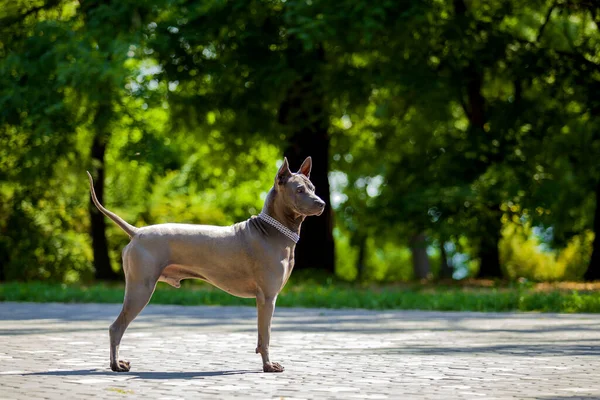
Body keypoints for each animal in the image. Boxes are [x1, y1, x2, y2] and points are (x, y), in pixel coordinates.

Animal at [85, 156, 324, 372]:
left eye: (312, 187)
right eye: (299, 190)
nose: (321, 203)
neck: (272, 231)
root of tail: (137, 232)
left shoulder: (264, 299)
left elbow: (261, 337)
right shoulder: (267, 298)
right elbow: (265, 336)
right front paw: (268, 365)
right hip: (140, 289)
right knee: (116, 327)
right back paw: (116, 365)